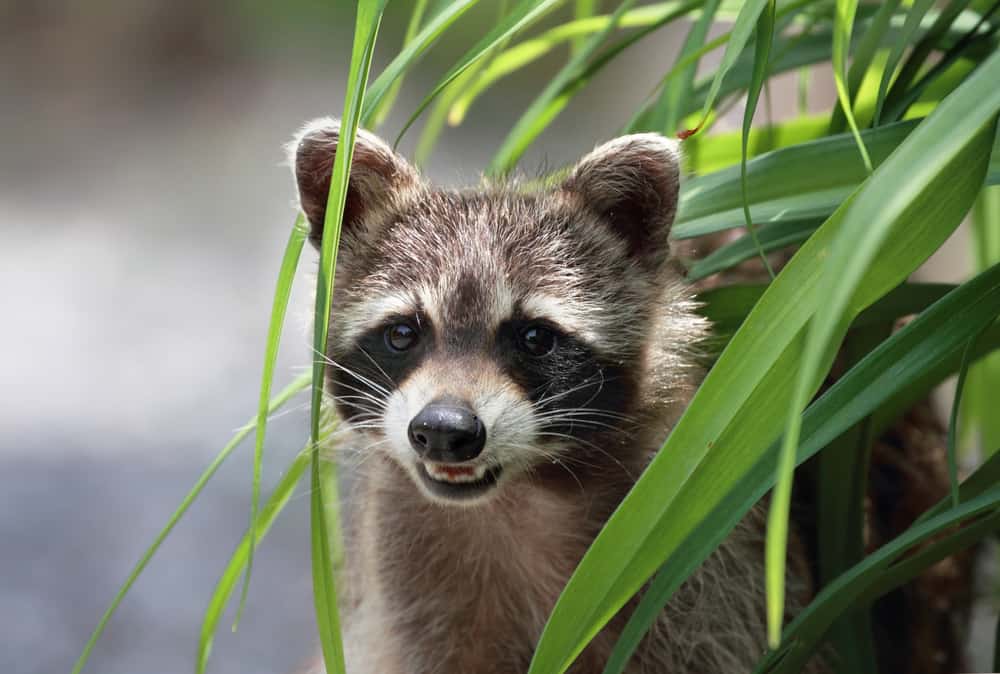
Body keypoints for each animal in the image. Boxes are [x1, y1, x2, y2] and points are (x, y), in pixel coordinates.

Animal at [290, 119, 818, 674]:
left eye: (535, 337)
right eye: (402, 333)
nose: (443, 430)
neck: (515, 495)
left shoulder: (695, 554)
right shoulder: (409, 588)